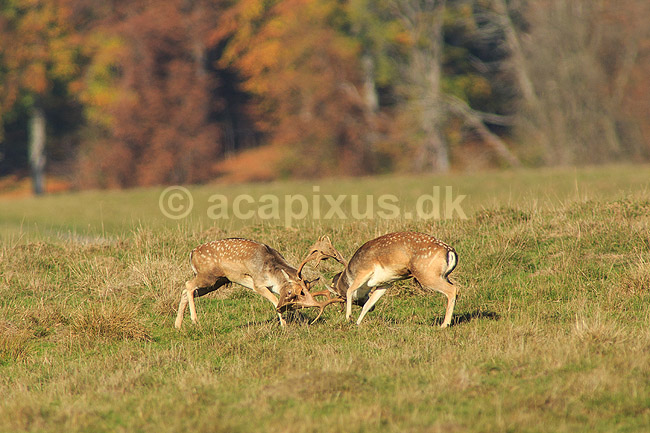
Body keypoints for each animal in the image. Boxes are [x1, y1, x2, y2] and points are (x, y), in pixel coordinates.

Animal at [174, 236, 344, 329]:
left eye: (296, 303)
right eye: (290, 292)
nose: (283, 309)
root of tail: (191, 253)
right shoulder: (258, 283)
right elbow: (274, 300)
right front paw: (284, 325)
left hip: (216, 282)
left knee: (186, 291)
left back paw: (178, 325)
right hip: (207, 276)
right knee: (188, 285)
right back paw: (194, 320)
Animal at [325, 232, 459, 328]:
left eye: (343, 298)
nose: (373, 310)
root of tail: (451, 252)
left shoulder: (364, 270)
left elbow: (350, 290)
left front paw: (348, 318)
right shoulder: (385, 283)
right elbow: (368, 303)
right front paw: (357, 323)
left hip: (427, 275)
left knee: (452, 289)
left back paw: (444, 324)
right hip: (443, 276)